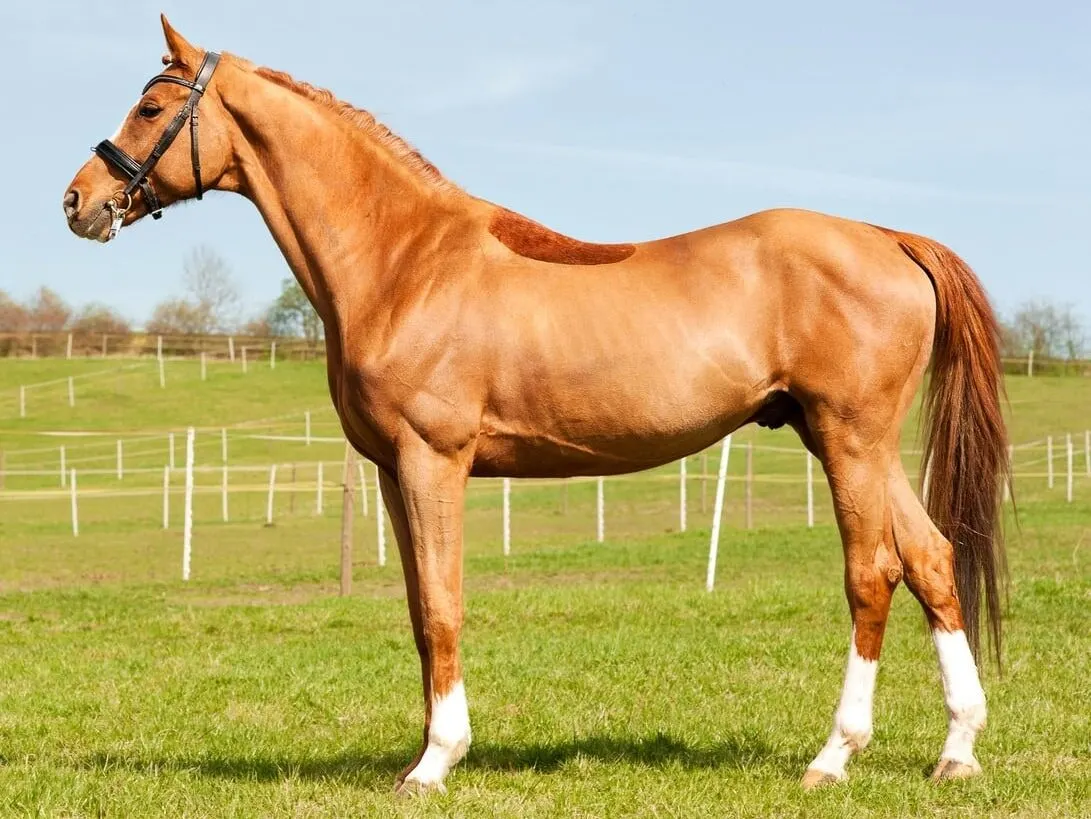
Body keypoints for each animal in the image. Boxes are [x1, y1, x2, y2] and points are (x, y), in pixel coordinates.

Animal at [63, 16, 1009, 794]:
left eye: (151, 106)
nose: (79, 200)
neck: (405, 260)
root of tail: (889, 238)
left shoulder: (432, 460)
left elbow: (443, 603)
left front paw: (435, 763)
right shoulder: (389, 472)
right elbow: (419, 610)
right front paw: (421, 749)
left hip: (851, 440)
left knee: (872, 573)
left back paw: (833, 756)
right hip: (851, 442)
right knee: (930, 559)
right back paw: (955, 750)